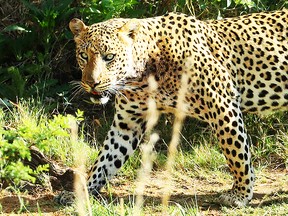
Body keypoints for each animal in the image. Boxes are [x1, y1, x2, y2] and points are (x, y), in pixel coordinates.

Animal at [66, 8, 288, 208]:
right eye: (84, 56)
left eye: (109, 57)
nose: (92, 83)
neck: (141, 77)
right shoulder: (127, 123)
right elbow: (106, 159)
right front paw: (82, 191)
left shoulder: (222, 105)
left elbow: (236, 153)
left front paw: (240, 194)